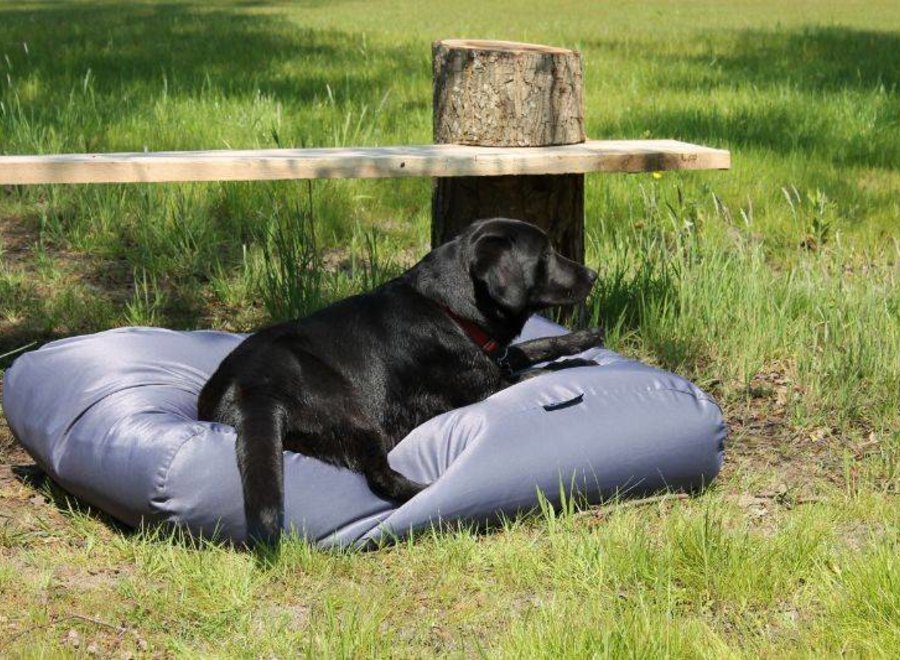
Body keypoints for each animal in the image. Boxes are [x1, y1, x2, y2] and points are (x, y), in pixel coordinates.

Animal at [199, 219, 604, 544]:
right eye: (546, 253)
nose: (593, 275)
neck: (449, 308)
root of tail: (251, 390)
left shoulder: (495, 357)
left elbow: (532, 346)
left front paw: (583, 339)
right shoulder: (488, 387)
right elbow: (539, 372)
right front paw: (578, 362)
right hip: (352, 415)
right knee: (381, 479)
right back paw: (432, 491)